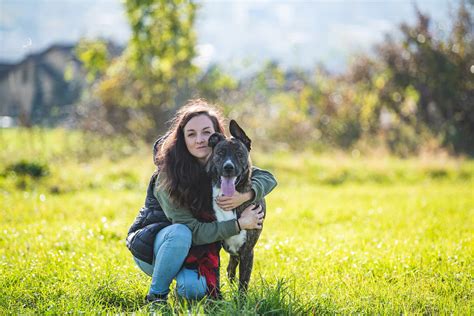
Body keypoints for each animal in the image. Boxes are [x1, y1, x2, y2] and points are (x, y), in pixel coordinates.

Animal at [207, 119, 266, 292]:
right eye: (220, 153)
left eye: (239, 154)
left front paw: (240, 298)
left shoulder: (247, 252)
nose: (228, 167)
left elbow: (243, 282)